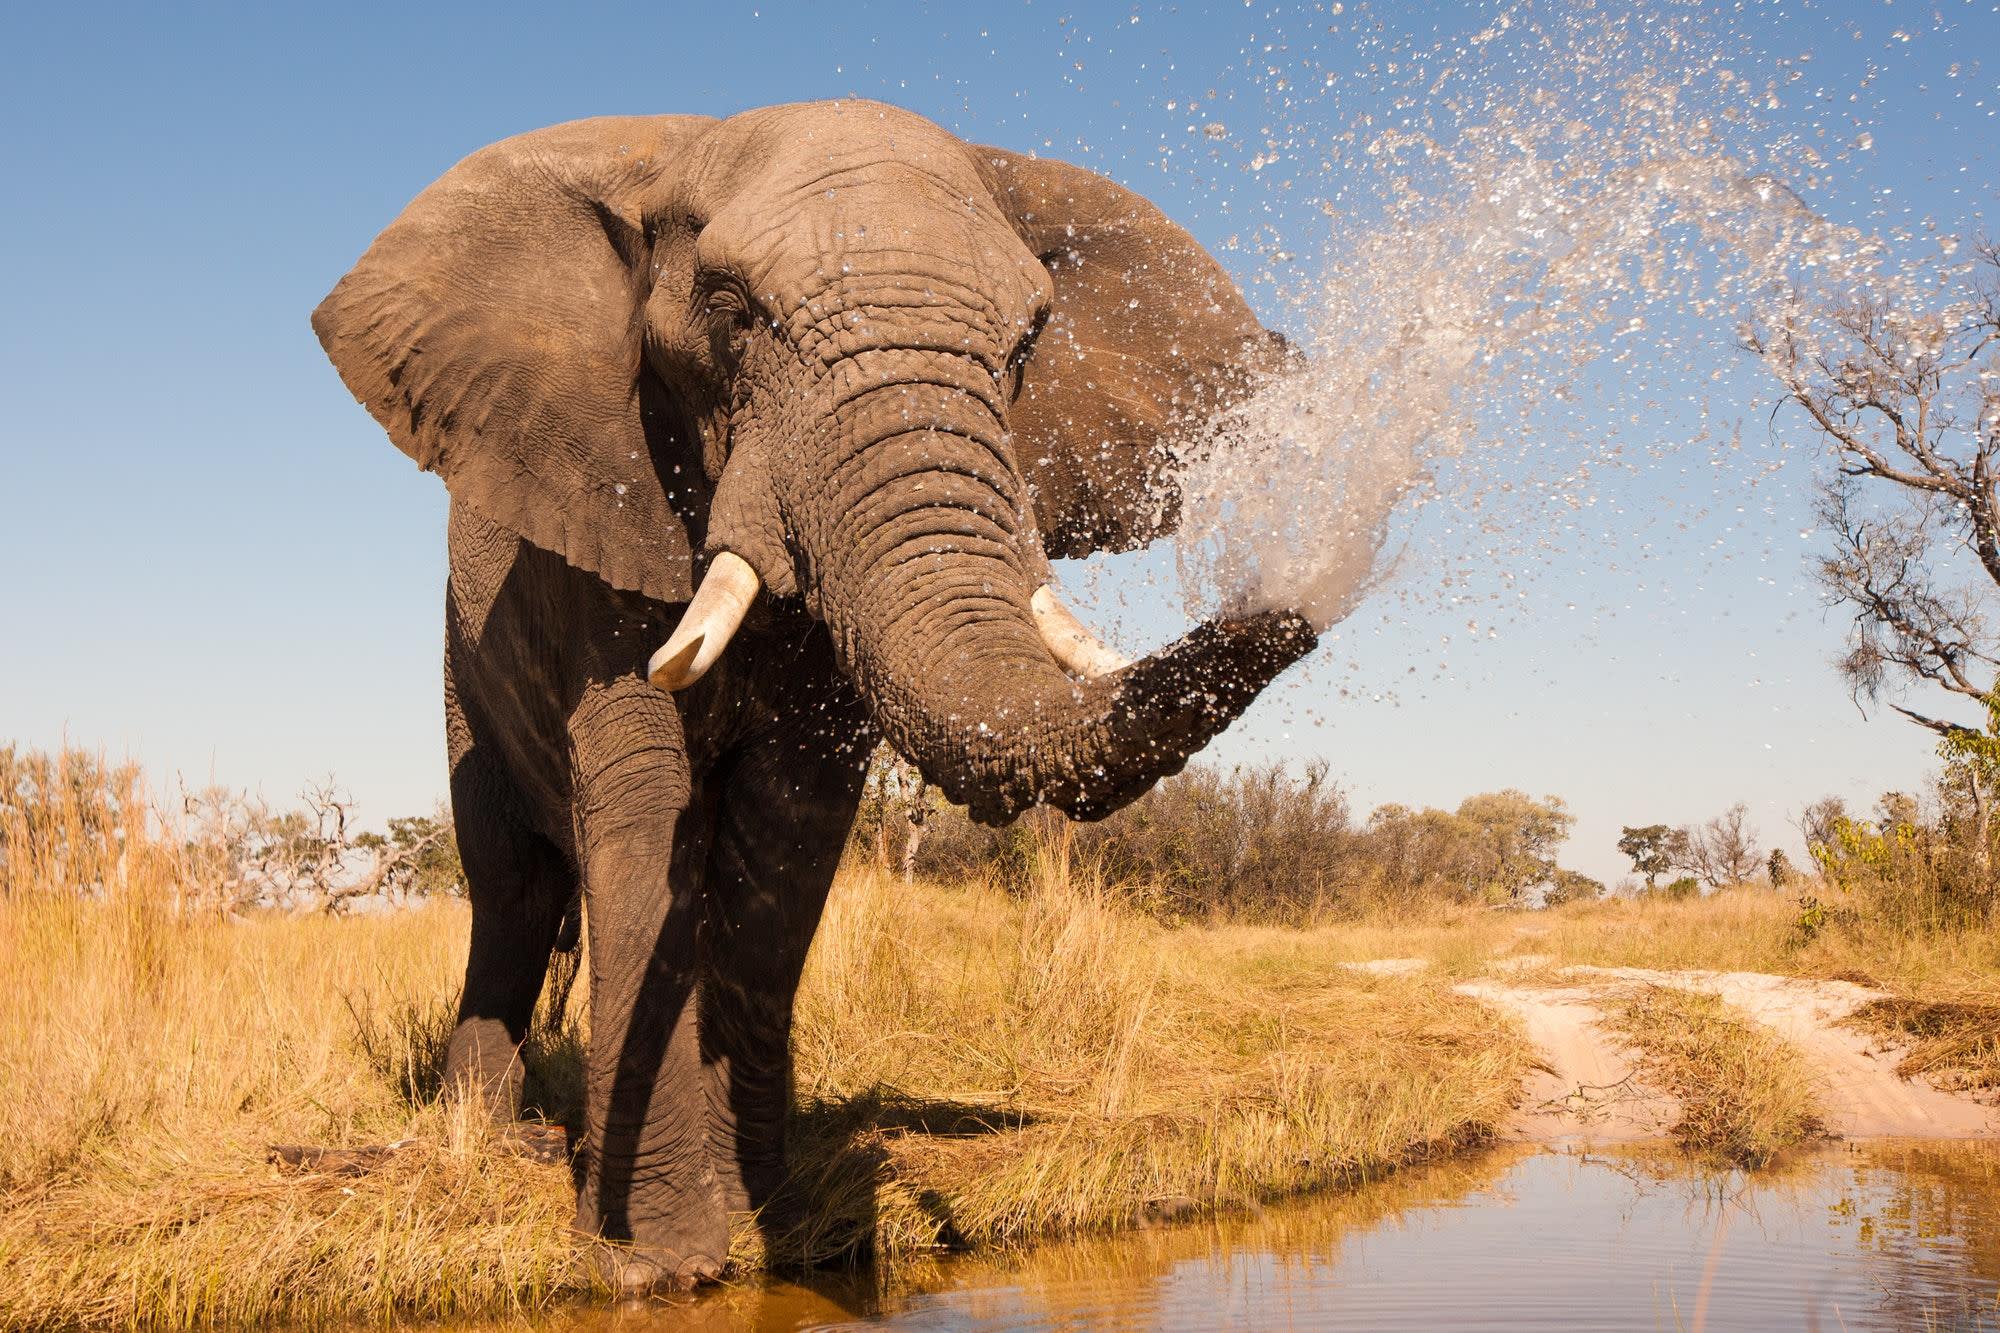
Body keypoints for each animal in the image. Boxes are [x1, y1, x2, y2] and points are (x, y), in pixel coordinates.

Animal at [308, 98, 1312, 1280]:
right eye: (730, 312)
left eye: (1027, 343)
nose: (1301, 591)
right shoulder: (599, 509)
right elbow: (642, 801)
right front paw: (660, 1261)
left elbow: (787, 825)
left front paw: (775, 1229)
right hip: (463, 668)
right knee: (508, 884)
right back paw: (488, 1134)